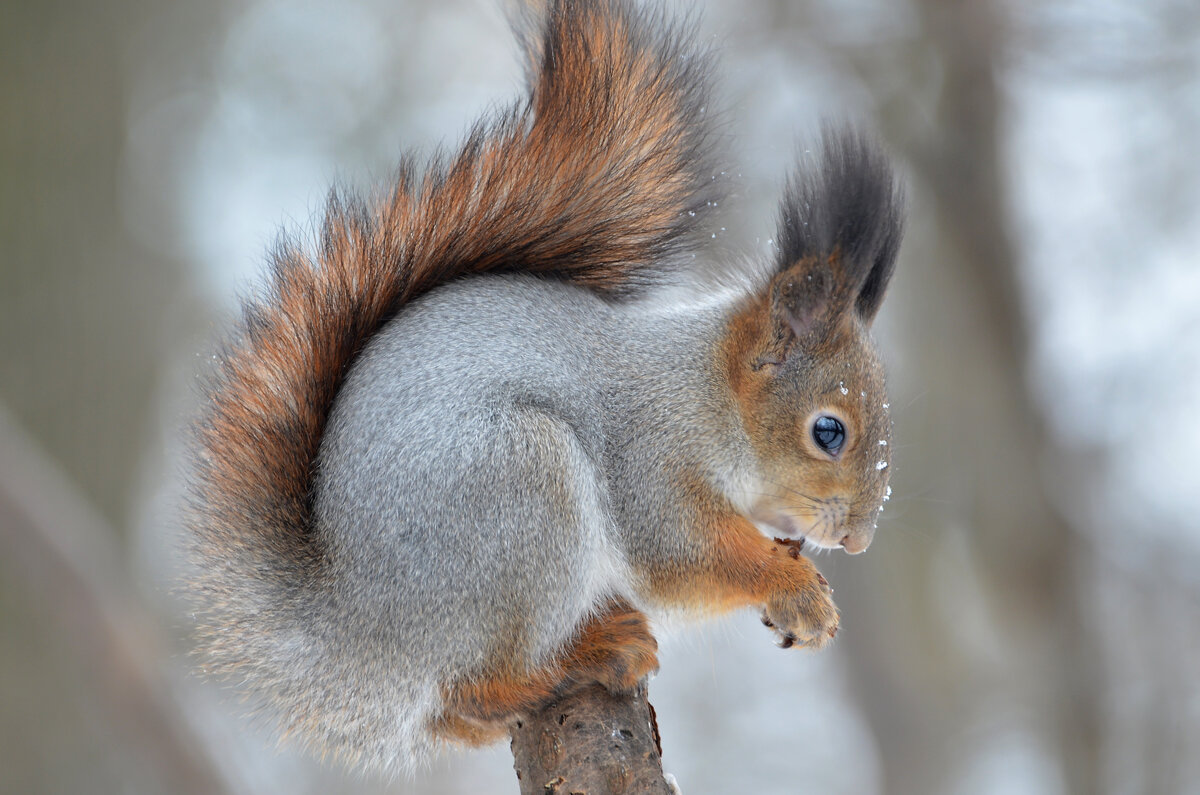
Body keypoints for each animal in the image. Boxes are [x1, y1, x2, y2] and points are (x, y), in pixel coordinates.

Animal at [184, 0, 902, 773]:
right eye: (828, 431)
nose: (859, 540)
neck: (706, 395)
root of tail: (360, 626)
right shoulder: (651, 461)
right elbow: (684, 555)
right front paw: (793, 585)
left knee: (451, 716)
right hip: (521, 489)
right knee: (473, 689)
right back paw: (585, 655)